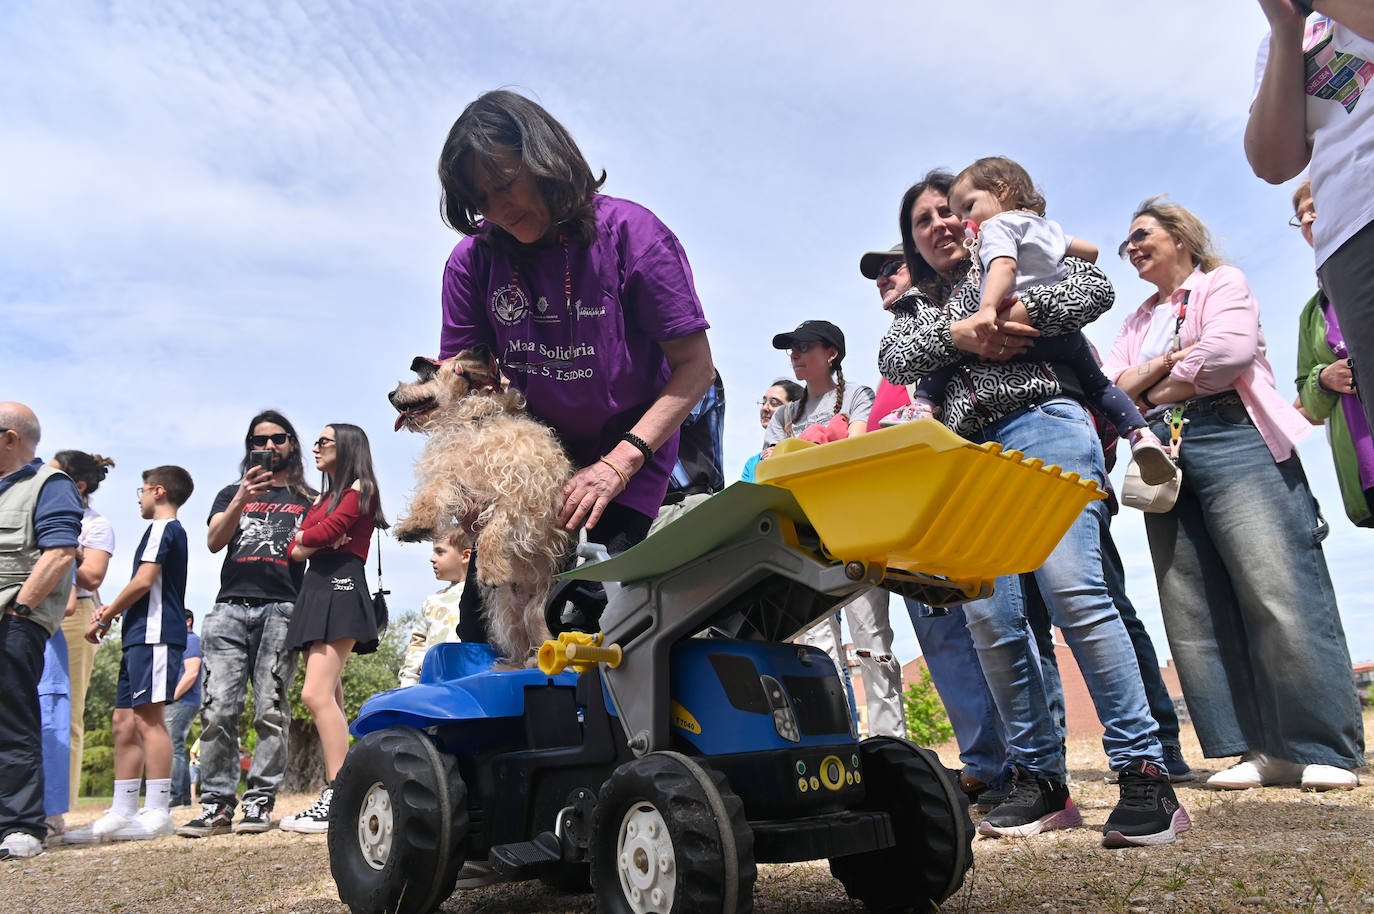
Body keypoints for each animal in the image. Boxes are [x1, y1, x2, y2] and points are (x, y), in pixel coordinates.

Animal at [390, 349, 571, 662]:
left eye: (426, 376)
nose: (390, 394)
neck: (475, 420)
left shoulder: (522, 494)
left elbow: (493, 530)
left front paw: (491, 567)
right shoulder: (454, 475)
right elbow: (432, 494)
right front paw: (415, 524)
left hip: (541, 612)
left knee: (546, 645)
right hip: (509, 613)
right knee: (520, 650)